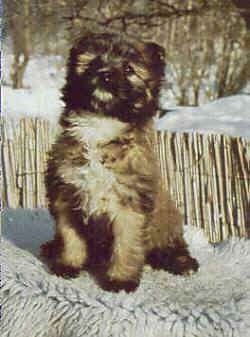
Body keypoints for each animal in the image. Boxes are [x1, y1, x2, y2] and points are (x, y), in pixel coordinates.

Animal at [40, 32, 197, 292]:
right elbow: (70, 237)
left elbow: (126, 246)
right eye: (93, 60)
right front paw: (68, 265)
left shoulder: (130, 207)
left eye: (128, 68)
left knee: (173, 247)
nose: (104, 74)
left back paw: (181, 262)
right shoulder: (66, 197)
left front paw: (120, 280)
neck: (101, 126)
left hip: (169, 227)